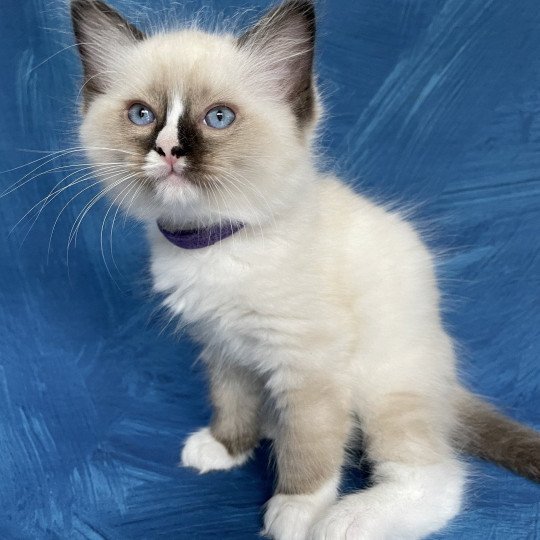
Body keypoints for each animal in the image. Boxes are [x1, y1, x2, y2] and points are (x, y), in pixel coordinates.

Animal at [71, 1, 540, 540]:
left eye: (218, 118)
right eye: (141, 115)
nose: (168, 150)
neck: (217, 243)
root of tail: (445, 379)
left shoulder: (309, 366)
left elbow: (309, 449)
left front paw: (296, 513)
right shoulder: (223, 349)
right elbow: (232, 403)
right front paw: (225, 447)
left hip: (383, 388)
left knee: (437, 479)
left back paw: (347, 519)